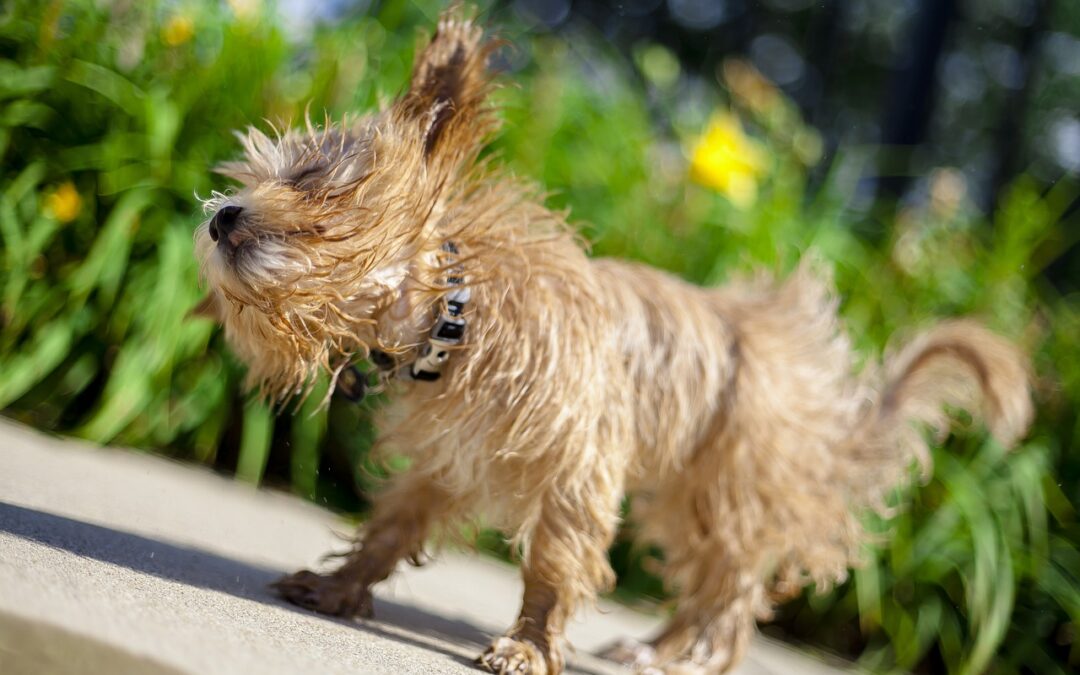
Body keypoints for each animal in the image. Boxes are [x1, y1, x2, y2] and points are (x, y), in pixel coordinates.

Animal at [192, 6, 1028, 673]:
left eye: (319, 197)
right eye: (257, 176)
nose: (222, 215)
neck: (458, 320)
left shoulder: (576, 465)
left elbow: (555, 565)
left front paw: (528, 645)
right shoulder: (446, 459)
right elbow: (391, 526)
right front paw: (339, 586)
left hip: (725, 493)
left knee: (732, 589)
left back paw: (686, 659)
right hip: (689, 498)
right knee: (709, 581)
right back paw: (656, 646)